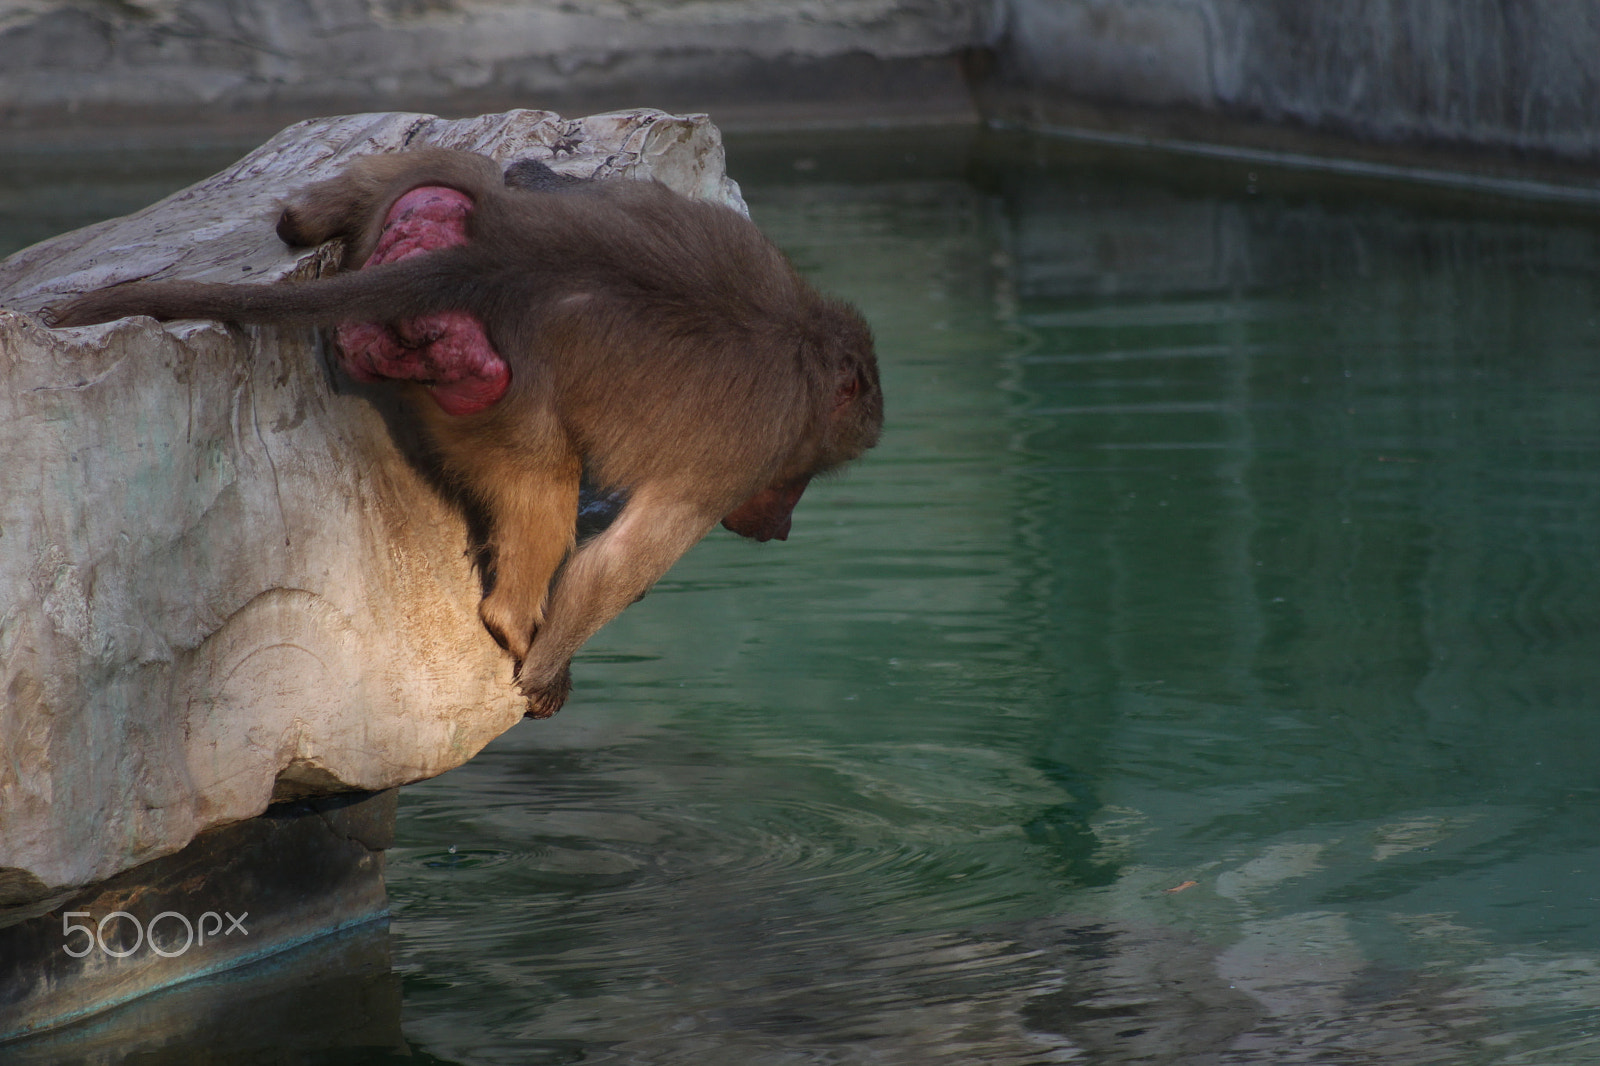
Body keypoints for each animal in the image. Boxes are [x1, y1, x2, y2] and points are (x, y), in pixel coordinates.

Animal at [46, 145, 889, 717]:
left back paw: (307, 215)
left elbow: (577, 184)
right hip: (497, 402)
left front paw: (544, 169)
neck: (804, 343)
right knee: (543, 488)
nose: (782, 524)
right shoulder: (739, 459)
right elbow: (613, 568)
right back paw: (514, 623)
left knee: (449, 168)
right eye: (797, 478)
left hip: (435, 220)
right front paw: (545, 669)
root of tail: (495, 261)